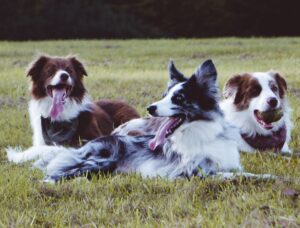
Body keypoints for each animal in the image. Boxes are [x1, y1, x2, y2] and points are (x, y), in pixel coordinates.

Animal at [7, 60, 247, 182]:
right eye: (164, 95)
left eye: (178, 98)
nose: (150, 108)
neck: (201, 133)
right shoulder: (189, 173)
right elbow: (244, 177)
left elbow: (241, 173)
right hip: (98, 161)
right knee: (51, 176)